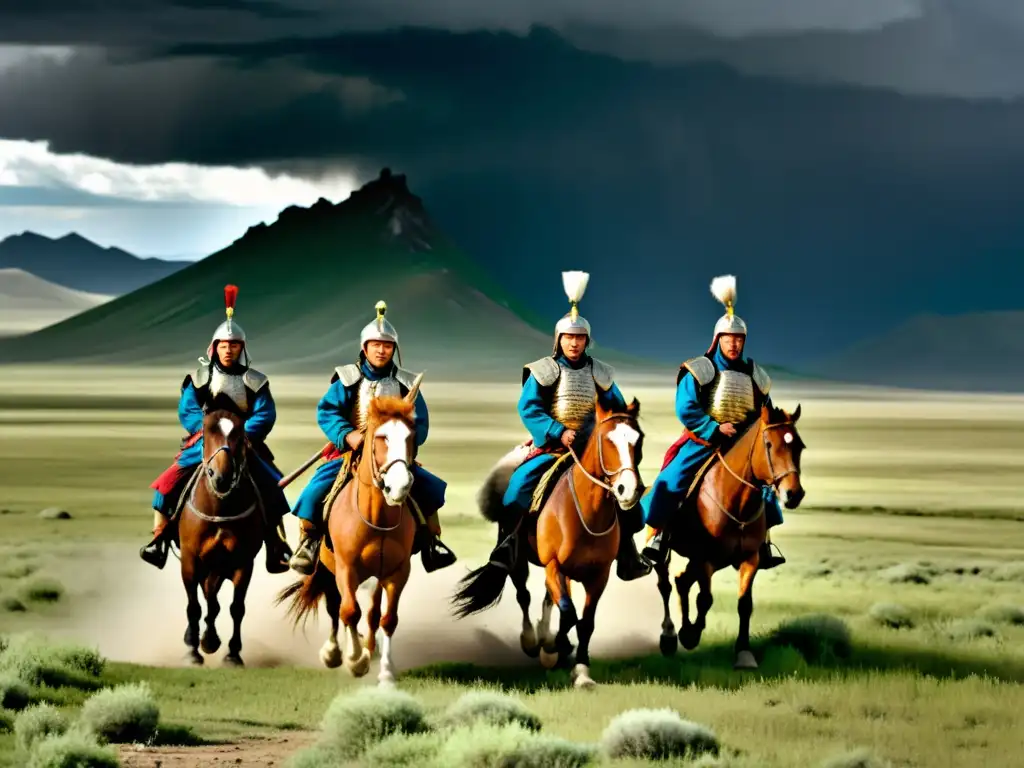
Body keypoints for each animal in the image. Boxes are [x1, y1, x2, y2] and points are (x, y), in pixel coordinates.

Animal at [180, 409, 268, 667]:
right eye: (207, 430)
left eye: (239, 434)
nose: (221, 477)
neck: (220, 507)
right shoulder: (190, 560)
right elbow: (194, 607)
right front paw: (193, 652)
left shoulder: (243, 562)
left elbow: (236, 608)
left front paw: (233, 654)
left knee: (214, 601)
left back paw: (210, 639)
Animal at [278, 376, 421, 688]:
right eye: (381, 437)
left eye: (410, 437)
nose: (399, 486)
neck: (376, 517)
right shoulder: (346, 568)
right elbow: (348, 611)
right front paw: (355, 661)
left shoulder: (396, 572)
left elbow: (386, 619)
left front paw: (386, 672)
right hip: (329, 569)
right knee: (337, 608)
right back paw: (334, 653)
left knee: (370, 613)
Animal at [452, 397, 643, 692]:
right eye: (607, 440)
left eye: (638, 439)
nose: (629, 490)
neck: (587, 513)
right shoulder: (554, 566)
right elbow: (568, 614)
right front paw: (554, 647)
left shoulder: (598, 576)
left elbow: (585, 622)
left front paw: (581, 671)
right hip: (519, 560)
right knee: (524, 594)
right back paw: (532, 640)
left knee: (547, 598)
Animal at [647, 405, 806, 671]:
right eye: (769, 444)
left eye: (799, 446)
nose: (793, 494)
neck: (737, 501)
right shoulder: (705, 559)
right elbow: (705, 599)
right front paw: (691, 635)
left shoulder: (750, 559)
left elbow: (744, 604)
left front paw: (743, 652)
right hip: (667, 554)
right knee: (666, 585)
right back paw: (669, 637)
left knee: (682, 580)